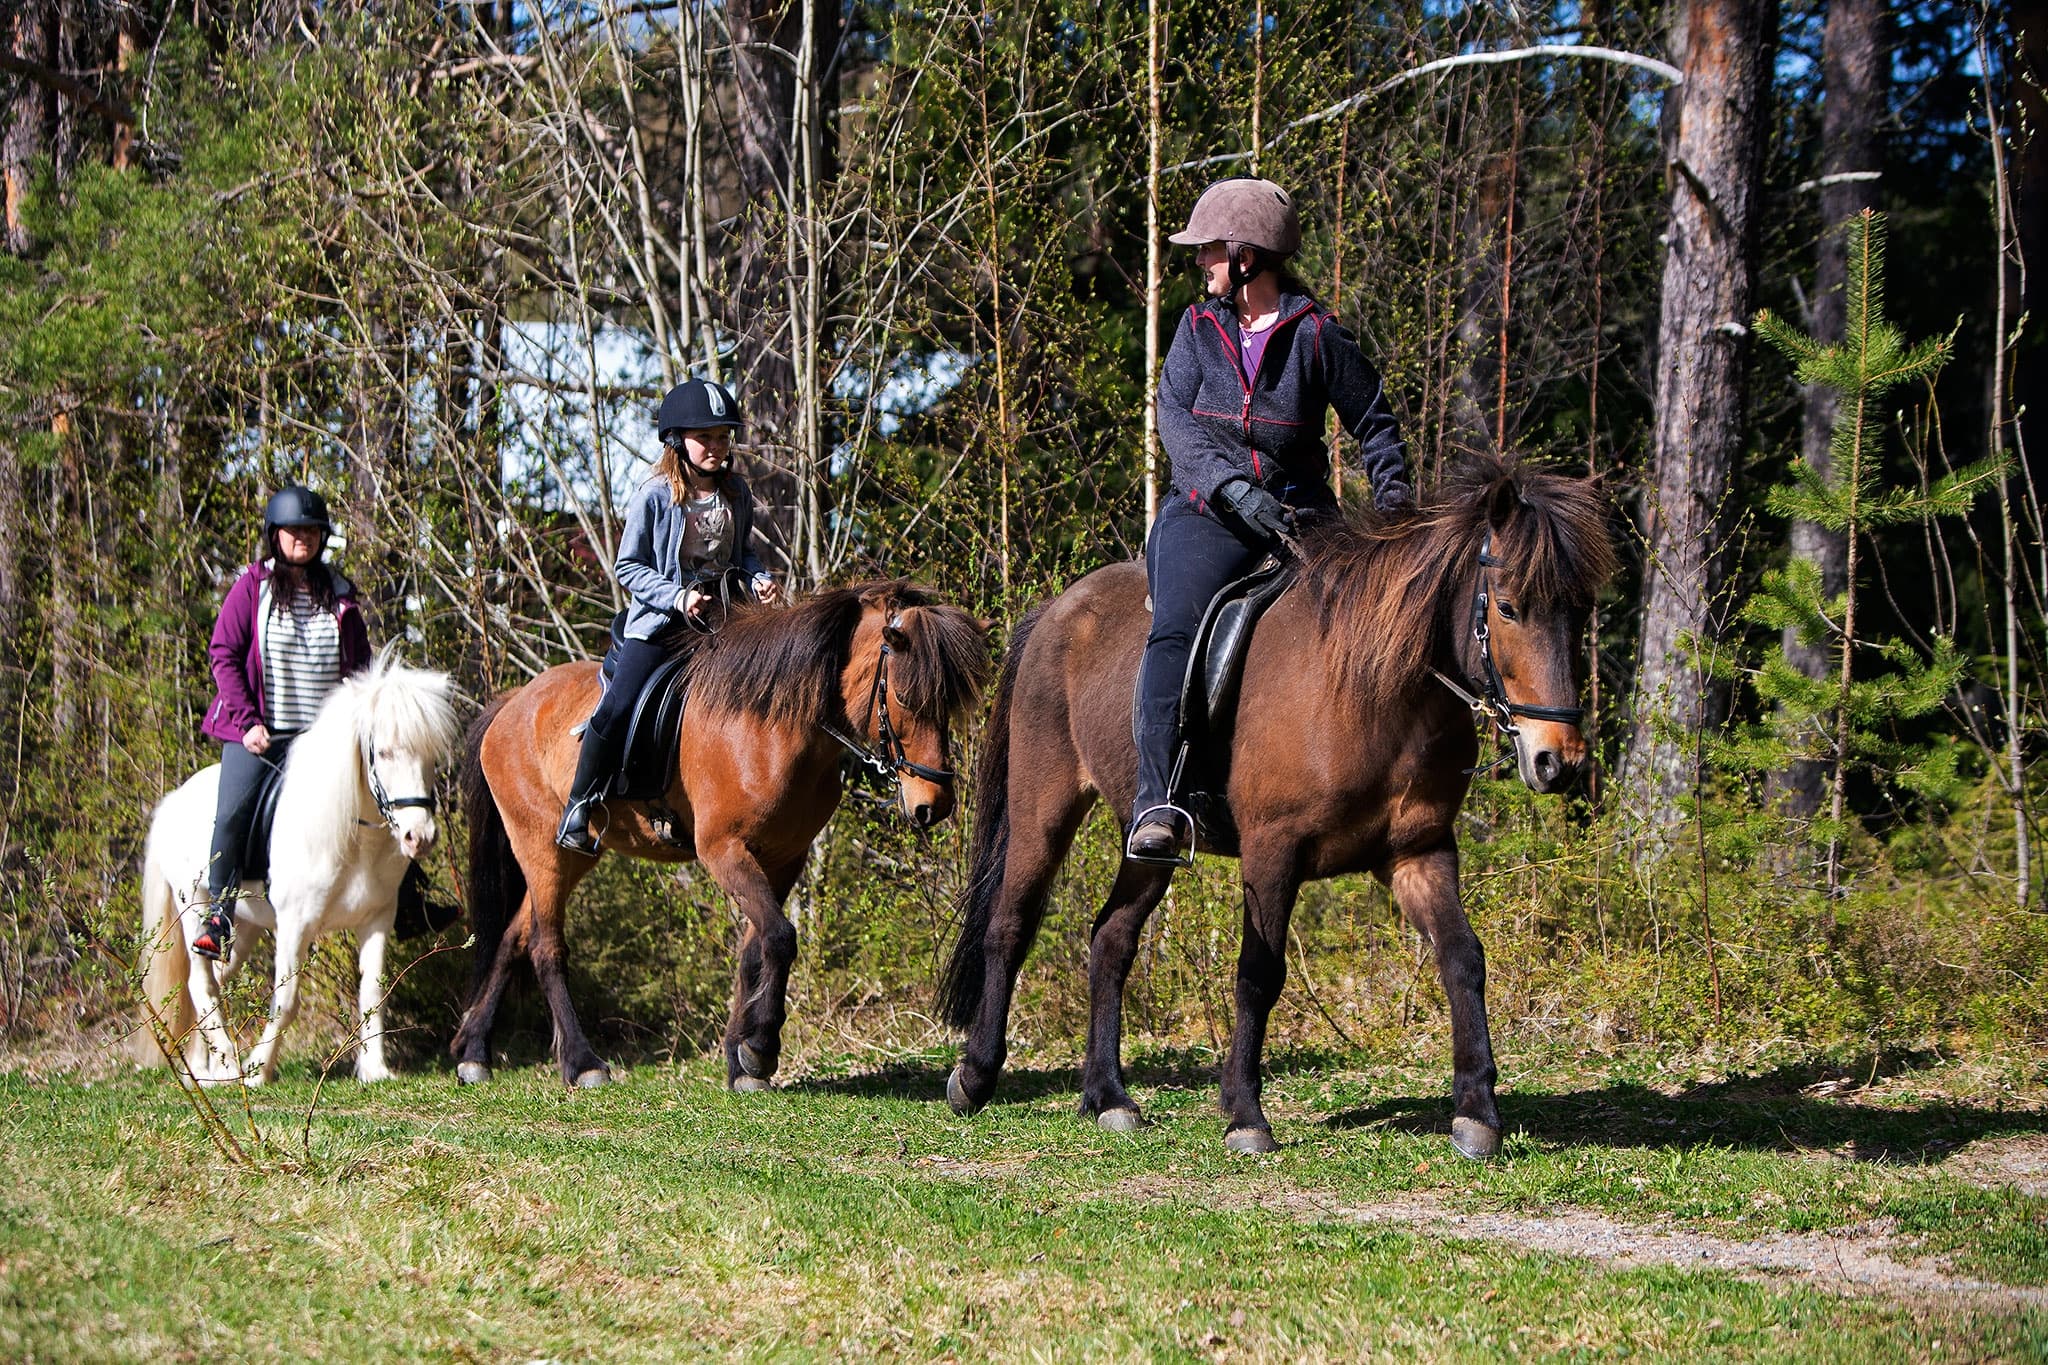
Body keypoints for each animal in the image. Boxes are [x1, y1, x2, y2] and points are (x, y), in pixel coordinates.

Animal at [136, 651, 463, 1085]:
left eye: (431, 756)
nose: (419, 837)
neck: (353, 836)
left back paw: (206, 1068)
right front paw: (258, 1071)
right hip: (196, 905)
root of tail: (173, 800)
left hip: (246, 925)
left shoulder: (377, 918)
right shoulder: (295, 923)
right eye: (383, 753)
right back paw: (228, 1062)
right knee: (200, 982)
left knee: (213, 982)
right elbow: (287, 1000)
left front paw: (376, 1069)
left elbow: (374, 993)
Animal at [452, 580, 988, 1090]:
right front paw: (761, 1048)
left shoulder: (783, 858)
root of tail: (511, 704)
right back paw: (582, 1063)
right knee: (546, 949)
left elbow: (753, 950)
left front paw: (740, 1059)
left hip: (569, 859)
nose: (934, 804)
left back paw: (475, 1052)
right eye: (905, 698)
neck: (773, 727)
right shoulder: (723, 851)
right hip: (542, 850)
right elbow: (779, 937)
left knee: (512, 938)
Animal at [936, 455, 1616, 1158]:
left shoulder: (1419, 852)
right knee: (1009, 927)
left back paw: (1109, 1098)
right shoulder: (1272, 852)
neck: (1372, 687)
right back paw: (975, 1077)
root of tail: (1053, 613)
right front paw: (1244, 1114)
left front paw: (1477, 1112)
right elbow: (1258, 973)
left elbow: (1463, 958)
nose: (1558, 760)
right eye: (1507, 608)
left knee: (1111, 939)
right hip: (1042, 811)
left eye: (1581, 610)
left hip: (1146, 839)